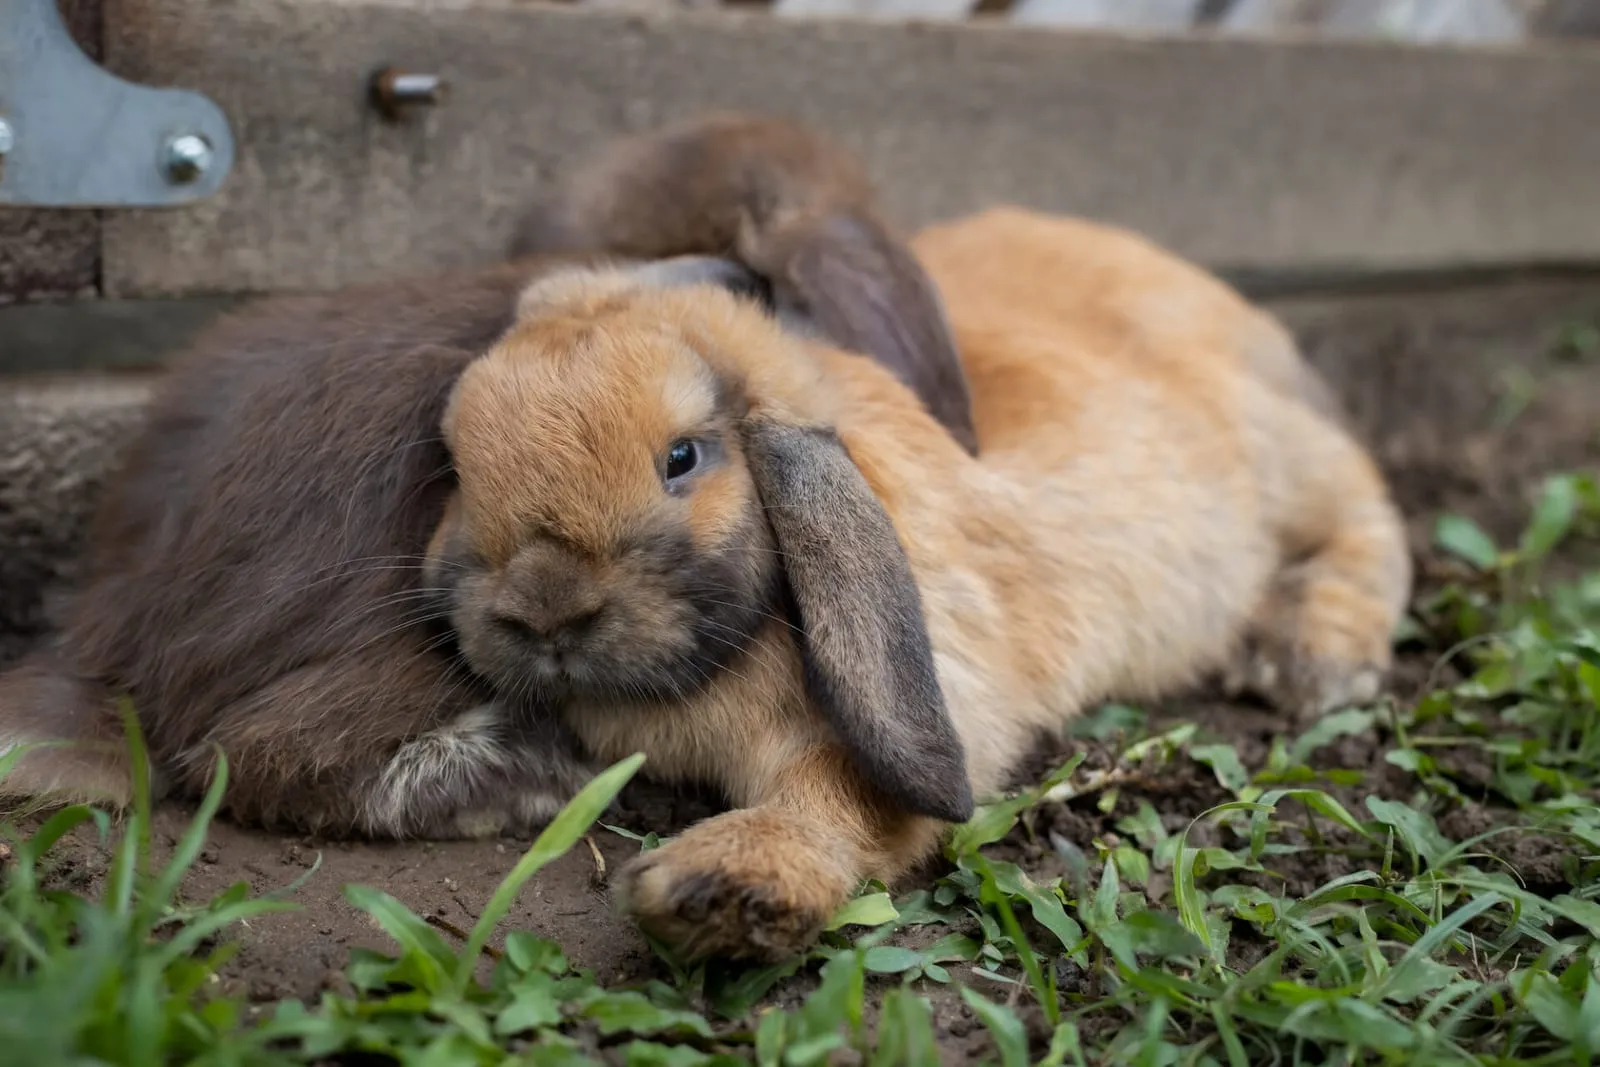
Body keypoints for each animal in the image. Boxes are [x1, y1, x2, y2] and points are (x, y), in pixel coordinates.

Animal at [424, 205, 1412, 962]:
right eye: (458, 465)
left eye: (683, 458)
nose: (545, 608)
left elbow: (830, 804)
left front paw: (719, 890)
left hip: (1295, 464)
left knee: (1371, 524)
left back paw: (1311, 658)